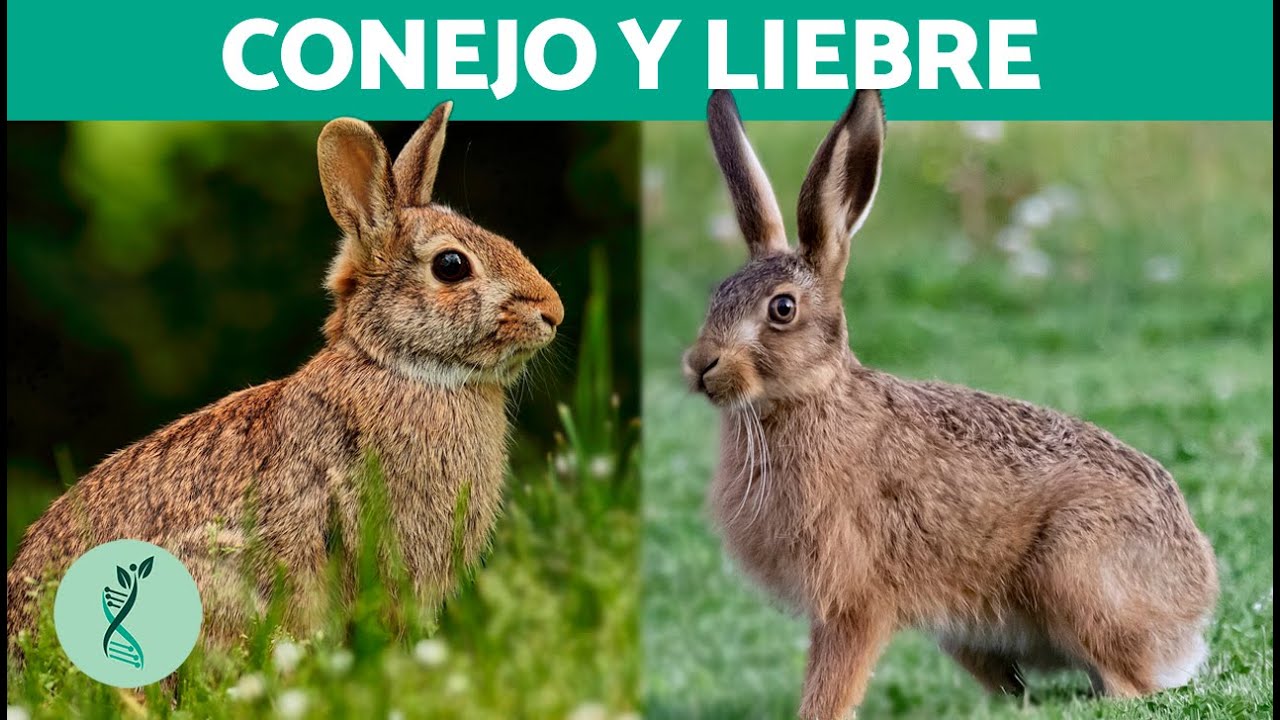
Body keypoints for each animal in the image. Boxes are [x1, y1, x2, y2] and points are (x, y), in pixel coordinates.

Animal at [681, 89, 1218, 720]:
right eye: (716, 296)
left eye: (782, 309)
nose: (700, 365)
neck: (807, 399)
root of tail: (1196, 600)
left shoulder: (854, 602)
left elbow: (831, 689)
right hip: (968, 636)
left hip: (1076, 570)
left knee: (1128, 686)